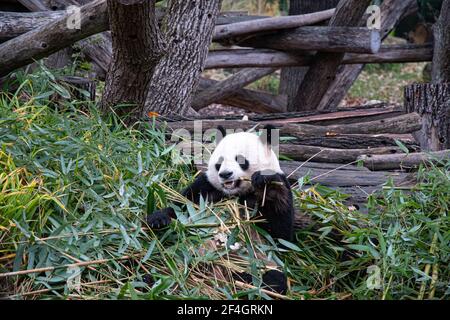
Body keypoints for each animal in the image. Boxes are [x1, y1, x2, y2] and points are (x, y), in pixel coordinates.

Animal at [147, 125, 296, 296]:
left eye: (241, 160)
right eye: (219, 162)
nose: (225, 174)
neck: (234, 194)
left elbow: (280, 237)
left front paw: (265, 180)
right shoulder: (205, 188)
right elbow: (181, 205)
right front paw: (158, 219)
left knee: (272, 279)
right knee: (161, 261)